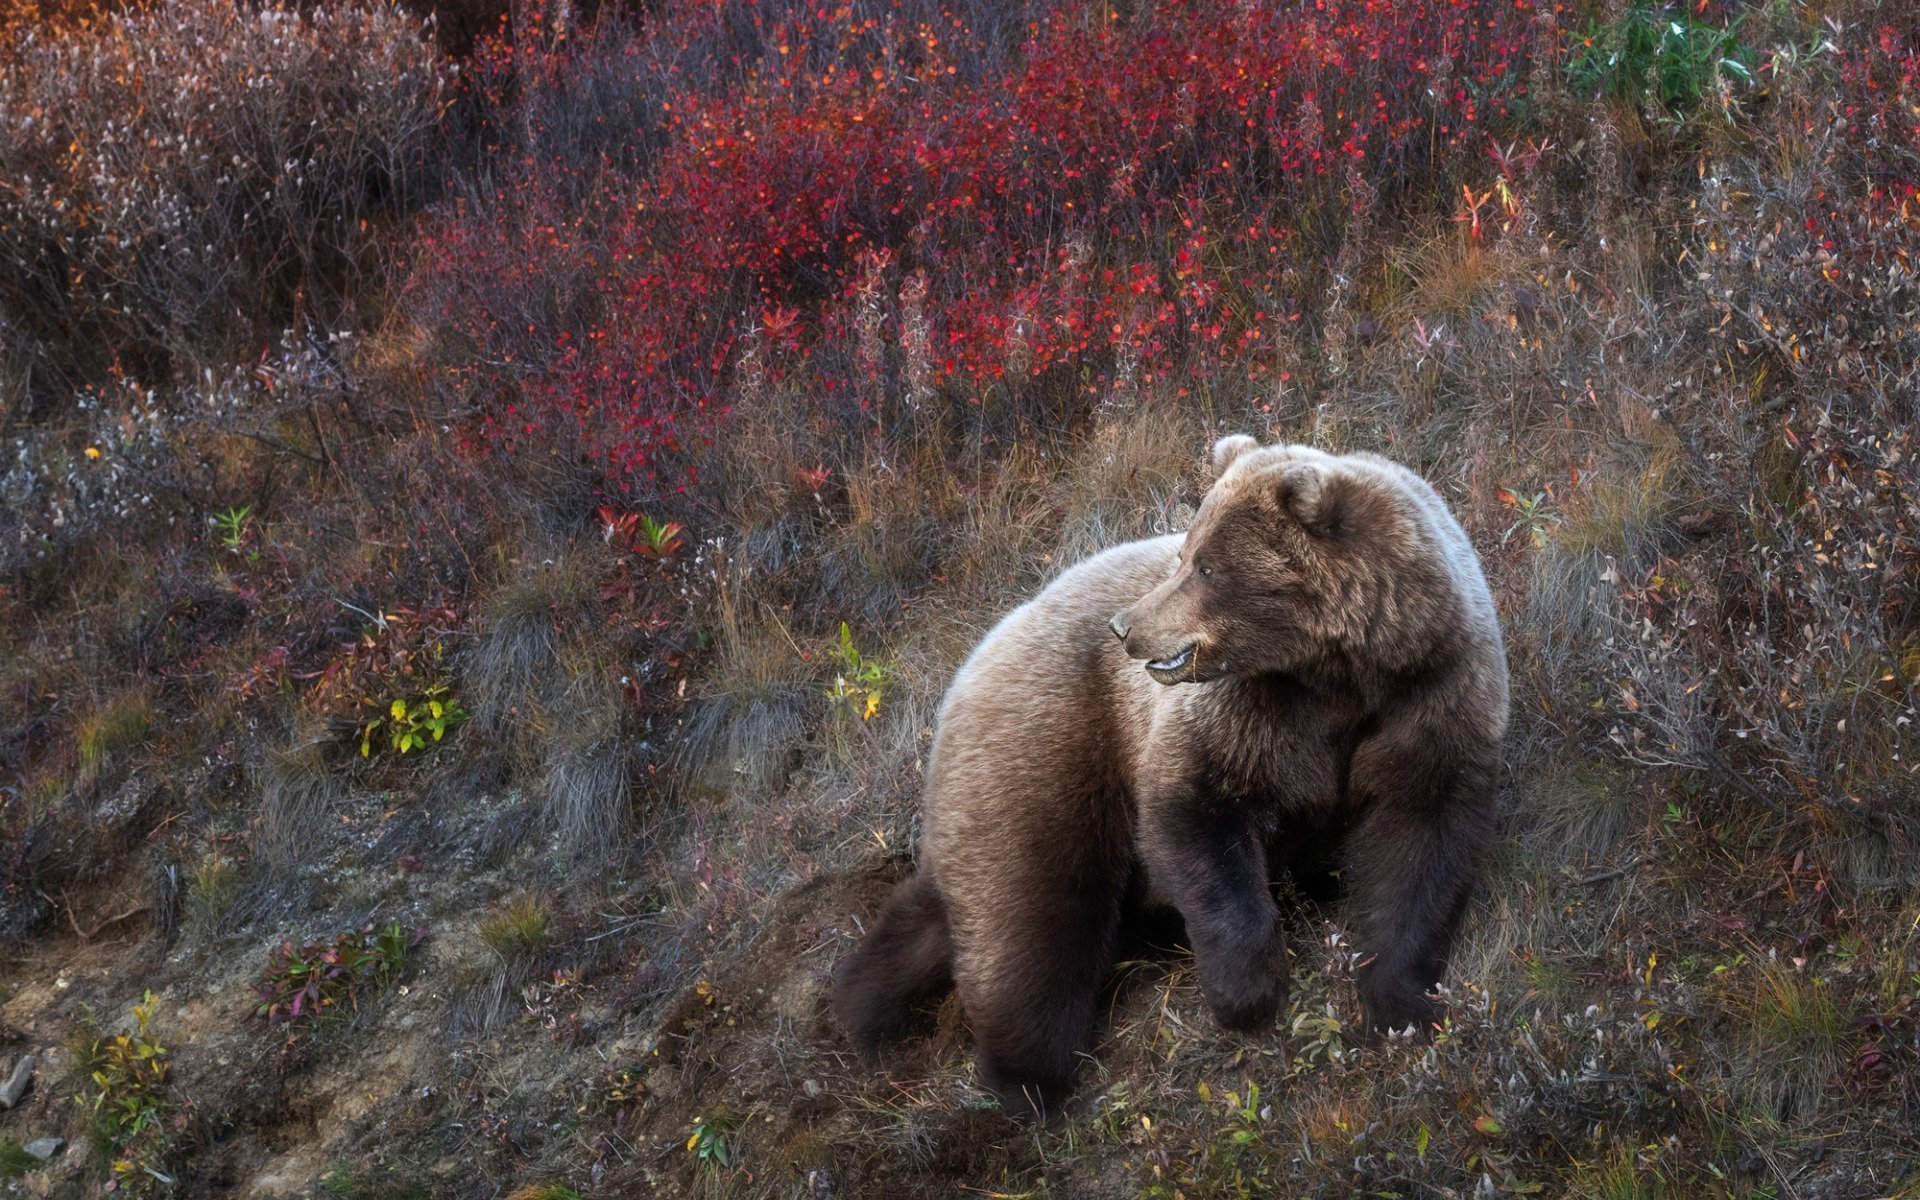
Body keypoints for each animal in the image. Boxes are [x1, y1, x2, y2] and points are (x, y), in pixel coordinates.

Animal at [833, 435, 1505, 1121]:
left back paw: (864, 1005)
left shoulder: (1431, 698)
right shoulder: (1248, 713)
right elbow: (1199, 811)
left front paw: (1399, 1003)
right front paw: (1249, 992)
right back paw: (1027, 1080)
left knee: (938, 910)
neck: (1340, 675)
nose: (1127, 628)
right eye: (1186, 553)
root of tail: (972, 661)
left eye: (1206, 567)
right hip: (1049, 752)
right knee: (1034, 915)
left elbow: (1420, 840)